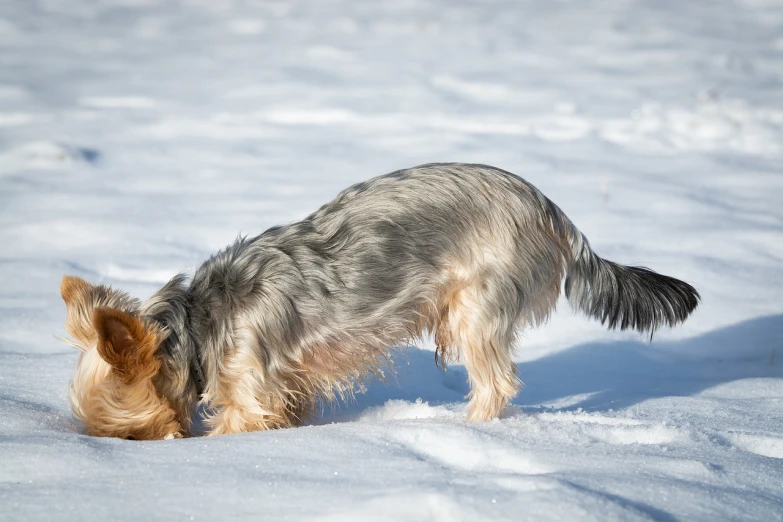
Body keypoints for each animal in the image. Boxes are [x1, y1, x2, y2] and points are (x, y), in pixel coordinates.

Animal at [59, 160, 700, 436]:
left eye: (131, 434)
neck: (196, 322)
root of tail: (553, 212)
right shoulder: (288, 384)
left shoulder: (248, 384)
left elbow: (239, 423)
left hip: (477, 303)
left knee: (495, 382)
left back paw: (463, 429)